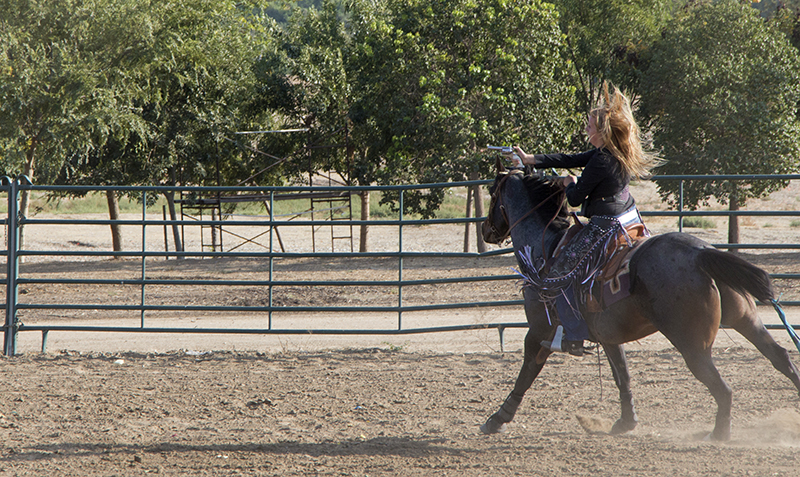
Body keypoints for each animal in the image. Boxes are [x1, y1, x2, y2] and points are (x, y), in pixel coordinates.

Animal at [478, 164, 800, 438]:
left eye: (493, 193)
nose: (485, 230)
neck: (546, 248)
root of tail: (700, 253)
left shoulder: (540, 329)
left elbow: (526, 373)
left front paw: (497, 419)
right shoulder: (608, 335)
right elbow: (622, 375)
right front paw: (626, 421)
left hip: (693, 345)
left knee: (723, 388)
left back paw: (719, 435)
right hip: (745, 319)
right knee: (780, 357)